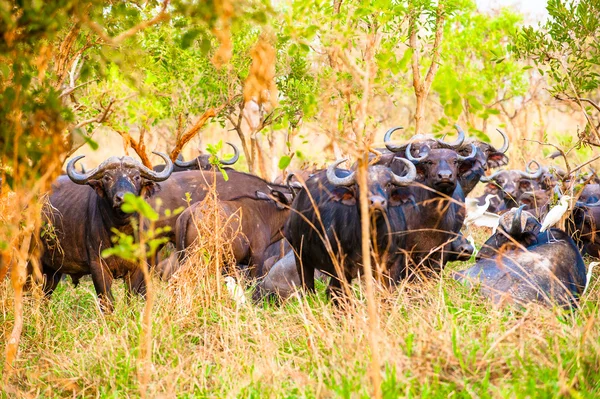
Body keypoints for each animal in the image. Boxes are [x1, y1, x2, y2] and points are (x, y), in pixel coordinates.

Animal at [286, 158, 418, 298]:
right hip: (299, 256)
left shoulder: (393, 266)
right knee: (309, 287)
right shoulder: (340, 268)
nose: (376, 203)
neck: (373, 238)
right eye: (358, 185)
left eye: (388, 184)